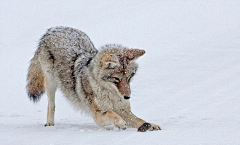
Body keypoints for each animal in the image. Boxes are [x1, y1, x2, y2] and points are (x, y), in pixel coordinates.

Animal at [26, 26, 160, 131]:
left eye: (129, 77)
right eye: (116, 79)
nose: (127, 97)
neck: (110, 93)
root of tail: (53, 29)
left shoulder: (123, 110)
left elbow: (139, 119)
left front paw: (151, 125)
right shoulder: (97, 114)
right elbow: (111, 113)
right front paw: (121, 123)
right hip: (50, 84)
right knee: (51, 105)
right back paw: (50, 124)